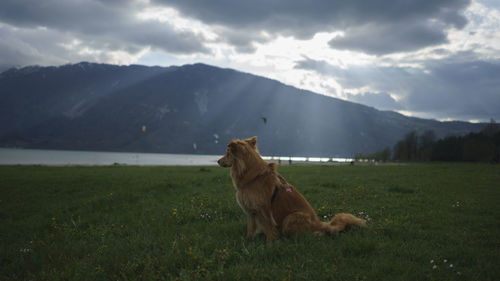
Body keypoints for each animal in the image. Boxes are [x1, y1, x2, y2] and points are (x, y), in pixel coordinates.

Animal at [217, 136, 366, 241]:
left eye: (227, 153)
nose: (218, 161)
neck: (252, 176)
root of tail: (319, 223)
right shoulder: (251, 210)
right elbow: (250, 228)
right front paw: (248, 241)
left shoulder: (264, 209)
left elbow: (269, 228)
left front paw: (269, 245)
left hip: (291, 218)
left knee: (313, 234)